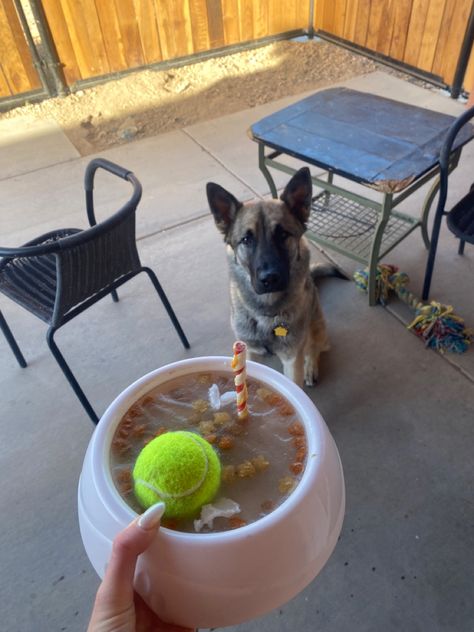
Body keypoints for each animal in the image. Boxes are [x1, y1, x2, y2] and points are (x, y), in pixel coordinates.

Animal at [207, 165, 344, 388]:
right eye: (246, 239)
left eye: (283, 234)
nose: (269, 278)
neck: (267, 313)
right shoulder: (248, 352)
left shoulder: (292, 358)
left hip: (316, 330)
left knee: (314, 349)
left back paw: (310, 367)